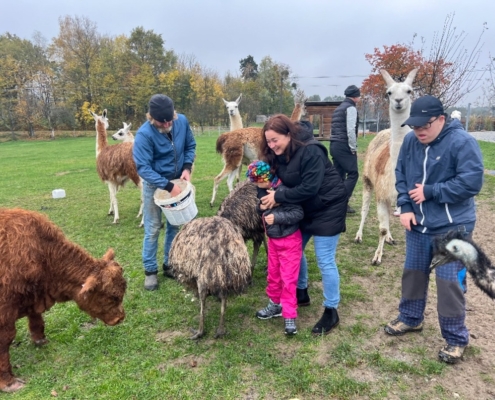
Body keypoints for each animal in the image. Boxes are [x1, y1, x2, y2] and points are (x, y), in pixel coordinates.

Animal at [0, 209, 127, 394]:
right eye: (112, 296)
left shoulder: (33, 298)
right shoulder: (5, 313)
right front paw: (8, 382)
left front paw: (40, 340)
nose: (120, 318)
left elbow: (37, 320)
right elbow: (5, 342)